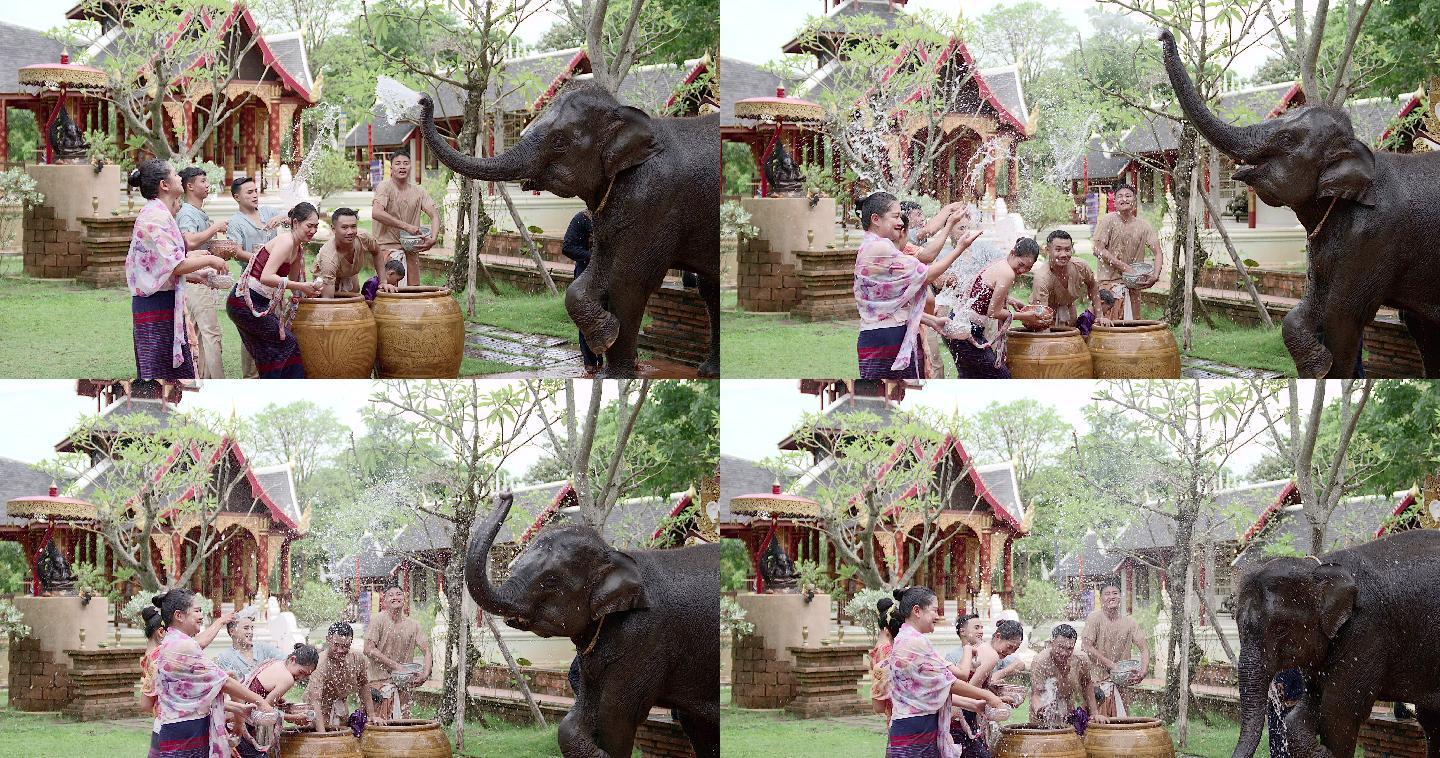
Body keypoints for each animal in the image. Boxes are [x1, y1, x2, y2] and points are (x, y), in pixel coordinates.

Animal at [420, 82, 725, 377]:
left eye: (559, 142)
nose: (423, 99)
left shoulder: (653, 201)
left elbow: (628, 281)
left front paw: (614, 375)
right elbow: (591, 277)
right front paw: (606, 338)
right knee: (710, 288)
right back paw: (708, 370)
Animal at [466, 492, 720, 758]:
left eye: (551, 581)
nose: (505, 494)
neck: (615, 556)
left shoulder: (646, 640)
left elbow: (615, 715)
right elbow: (579, 714)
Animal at [1163, 31, 1440, 377]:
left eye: (1285, 140)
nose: (1163, 34)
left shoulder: (1373, 238)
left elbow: (1342, 314)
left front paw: (1326, 371)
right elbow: (1308, 308)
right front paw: (1316, 365)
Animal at [1226, 530, 1440, 758]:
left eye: (1280, 629)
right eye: (1237, 623)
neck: (1318, 568)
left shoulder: (1367, 631)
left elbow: (1338, 712)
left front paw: (1329, 751)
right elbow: (1308, 704)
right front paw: (1322, 750)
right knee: (1431, 718)